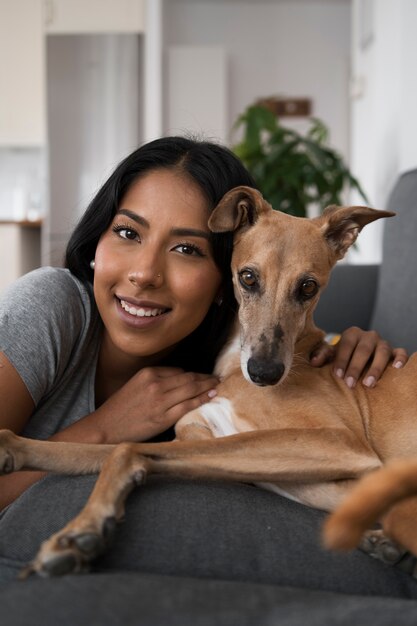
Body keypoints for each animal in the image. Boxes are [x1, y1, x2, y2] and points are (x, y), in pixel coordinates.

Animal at [1, 185, 414, 576]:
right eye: (248, 277)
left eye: (308, 287)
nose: (264, 374)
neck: (234, 368)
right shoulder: (201, 439)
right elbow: (98, 450)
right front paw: (14, 450)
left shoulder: (339, 443)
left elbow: (125, 449)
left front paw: (80, 530)